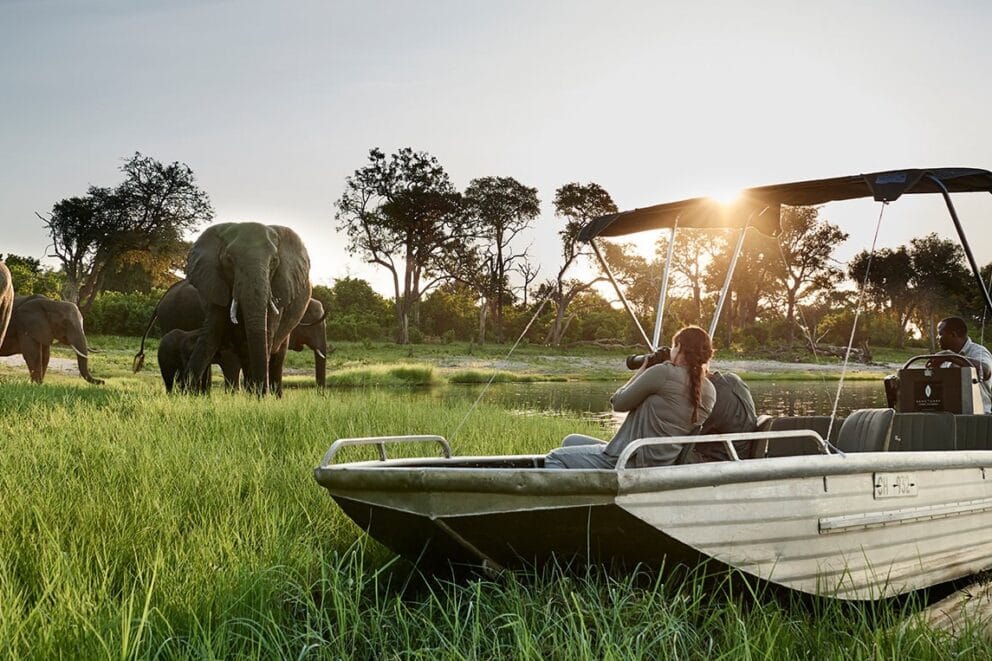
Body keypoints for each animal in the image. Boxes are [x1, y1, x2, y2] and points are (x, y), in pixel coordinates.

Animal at [184, 222, 312, 395]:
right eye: (229, 260)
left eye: (274, 262)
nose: (263, 394)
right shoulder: (216, 285)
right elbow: (210, 335)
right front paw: (182, 393)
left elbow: (266, 335)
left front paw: (260, 397)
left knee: (275, 357)